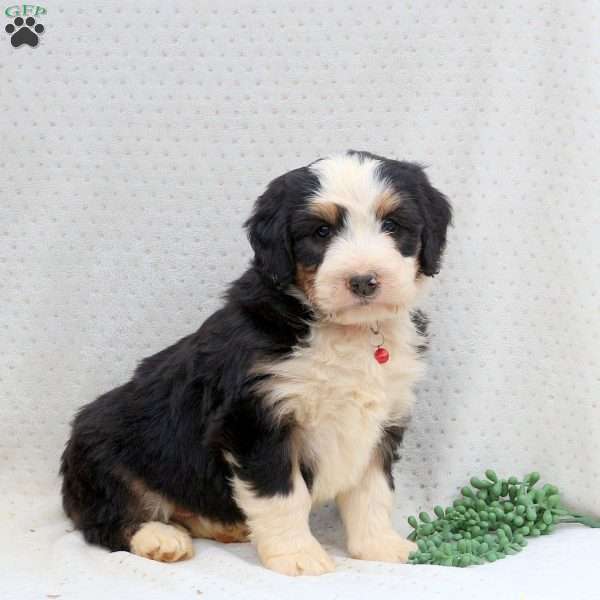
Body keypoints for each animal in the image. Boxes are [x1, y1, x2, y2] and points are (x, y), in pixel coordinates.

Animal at [59, 148, 450, 576]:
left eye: (392, 225)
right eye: (321, 232)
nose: (364, 280)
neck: (348, 332)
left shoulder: (381, 422)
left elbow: (372, 493)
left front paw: (380, 546)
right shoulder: (255, 419)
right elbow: (282, 495)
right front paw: (297, 555)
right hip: (103, 453)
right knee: (104, 519)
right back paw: (159, 537)